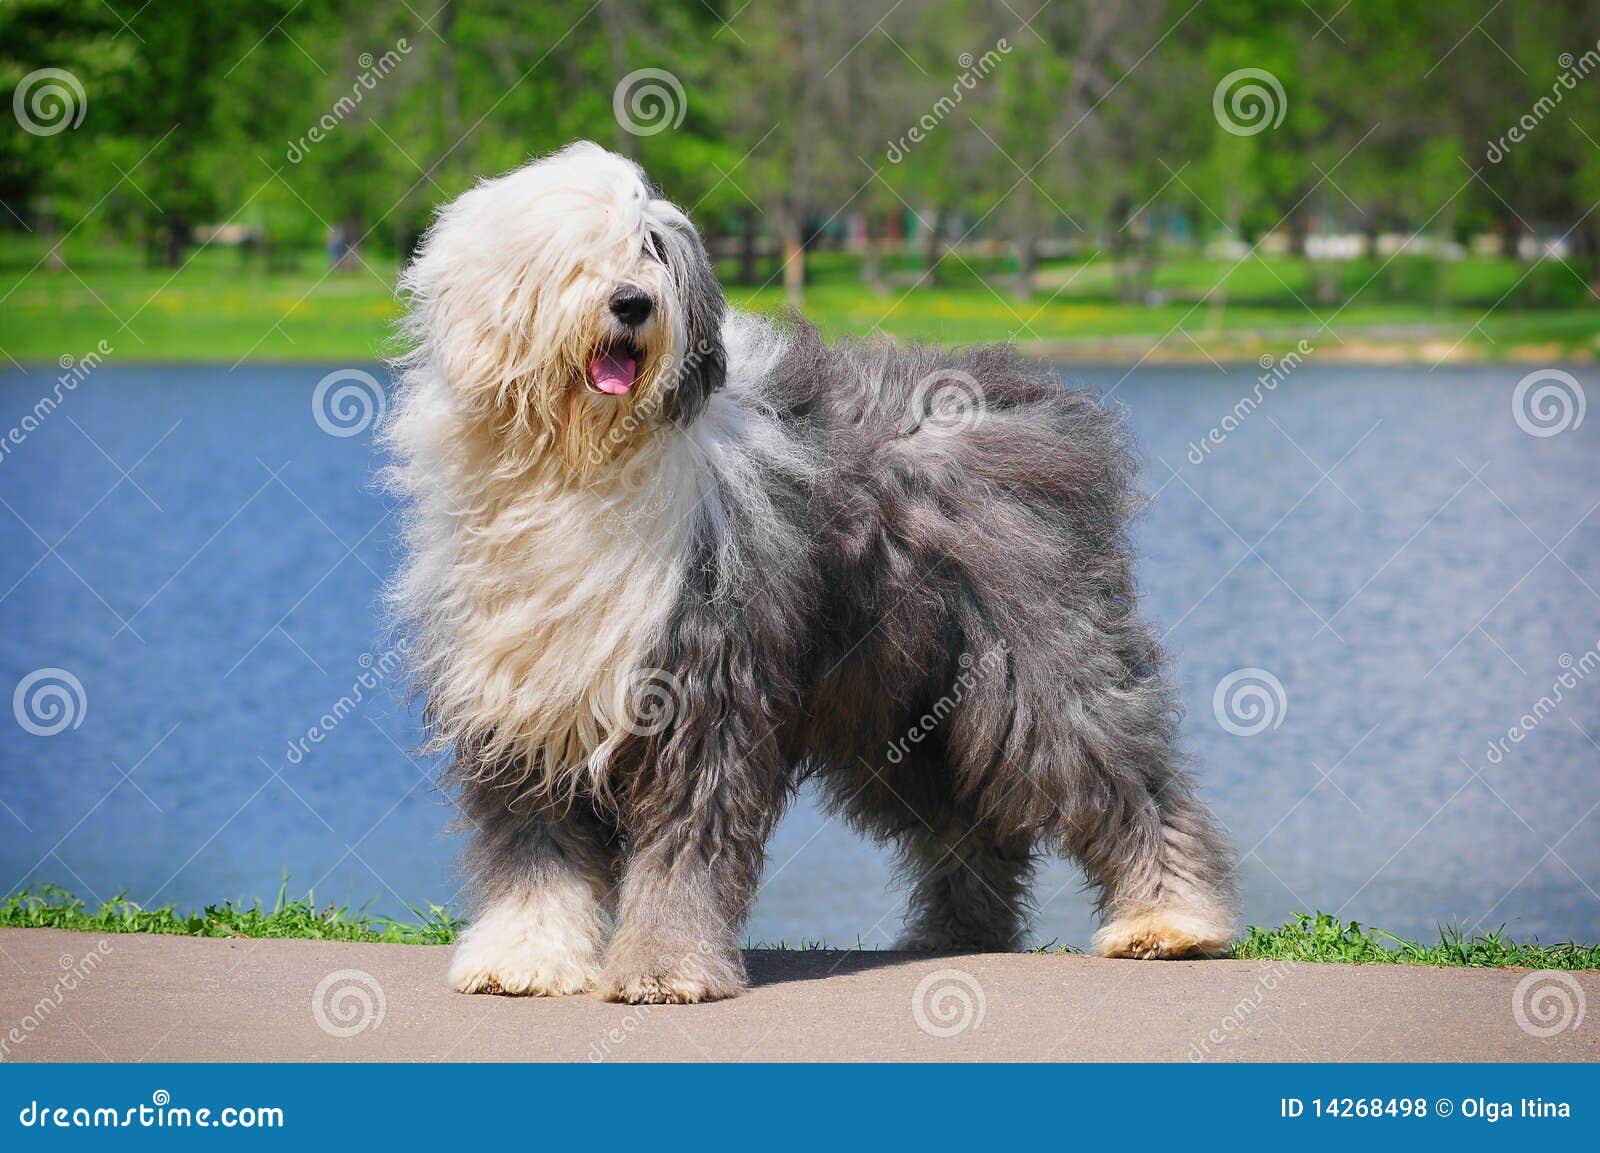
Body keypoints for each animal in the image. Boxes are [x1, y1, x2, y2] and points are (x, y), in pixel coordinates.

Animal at [384, 139, 1235, 1004]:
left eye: (652, 248)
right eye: (575, 253)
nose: (632, 304)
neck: (580, 463)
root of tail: (1032, 407)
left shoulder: (698, 689)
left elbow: (683, 845)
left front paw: (664, 967)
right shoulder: (522, 704)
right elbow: (535, 850)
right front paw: (524, 956)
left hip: (1039, 663)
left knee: (1122, 774)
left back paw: (1171, 918)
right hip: (905, 709)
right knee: (969, 822)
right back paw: (959, 931)